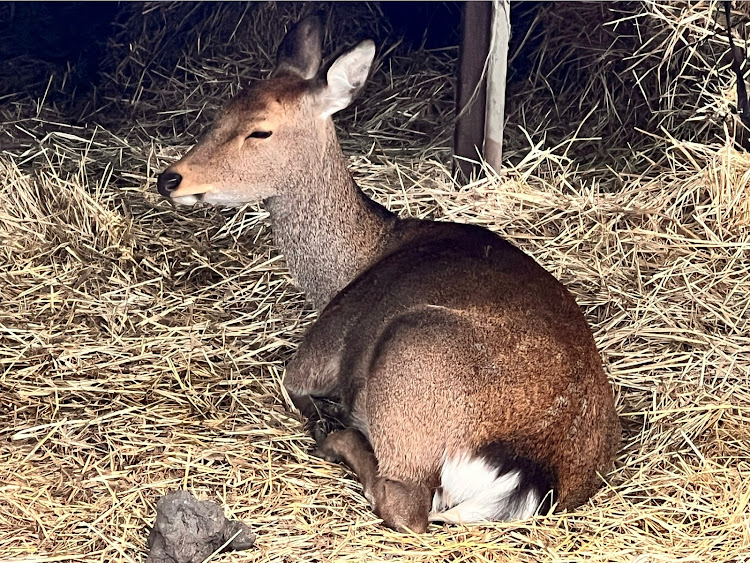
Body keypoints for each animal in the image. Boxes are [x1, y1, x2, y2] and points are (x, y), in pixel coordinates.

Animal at [156, 14, 620, 532]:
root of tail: (530, 470)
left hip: (409, 360)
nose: (169, 178)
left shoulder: (317, 353)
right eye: (221, 110)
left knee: (406, 507)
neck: (346, 269)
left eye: (261, 131)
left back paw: (336, 436)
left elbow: (294, 384)